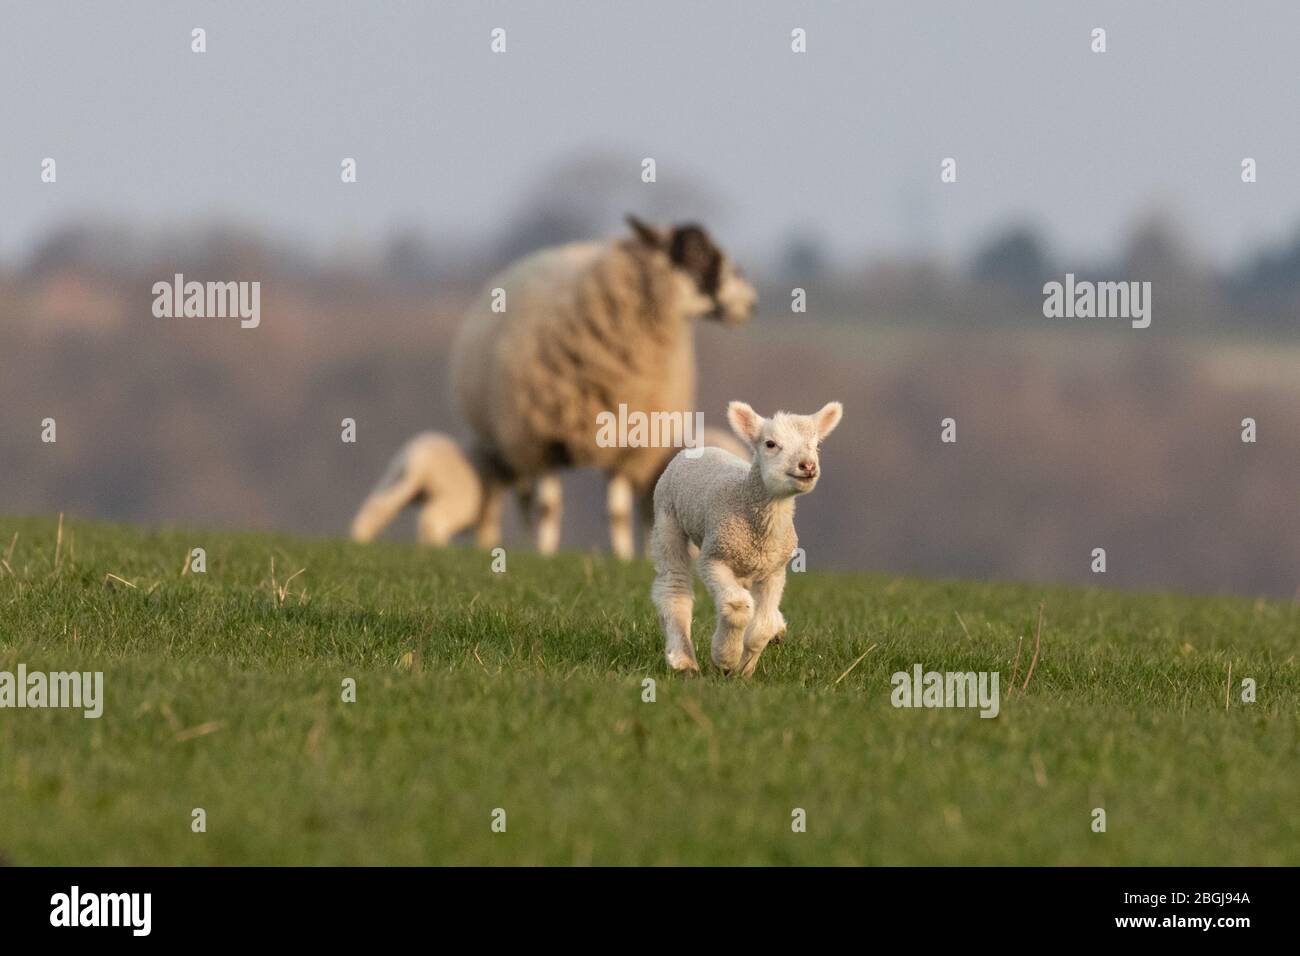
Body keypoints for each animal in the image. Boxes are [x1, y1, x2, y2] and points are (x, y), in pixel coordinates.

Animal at [449, 214, 759, 561]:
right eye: (696, 252)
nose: (750, 301)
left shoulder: (629, 442)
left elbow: (617, 514)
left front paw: (623, 559)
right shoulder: (542, 439)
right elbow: (548, 508)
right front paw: (545, 556)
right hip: (510, 443)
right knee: (524, 500)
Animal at [650, 400, 842, 676]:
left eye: (816, 446)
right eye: (770, 443)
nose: (808, 466)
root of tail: (702, 447)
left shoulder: (774, 570)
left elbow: (762, 627)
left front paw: (743, 670)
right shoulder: (714, 558)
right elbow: (736, 606)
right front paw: (726, 658)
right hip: (667, 516)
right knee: (674, 585)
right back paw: (683, 659)